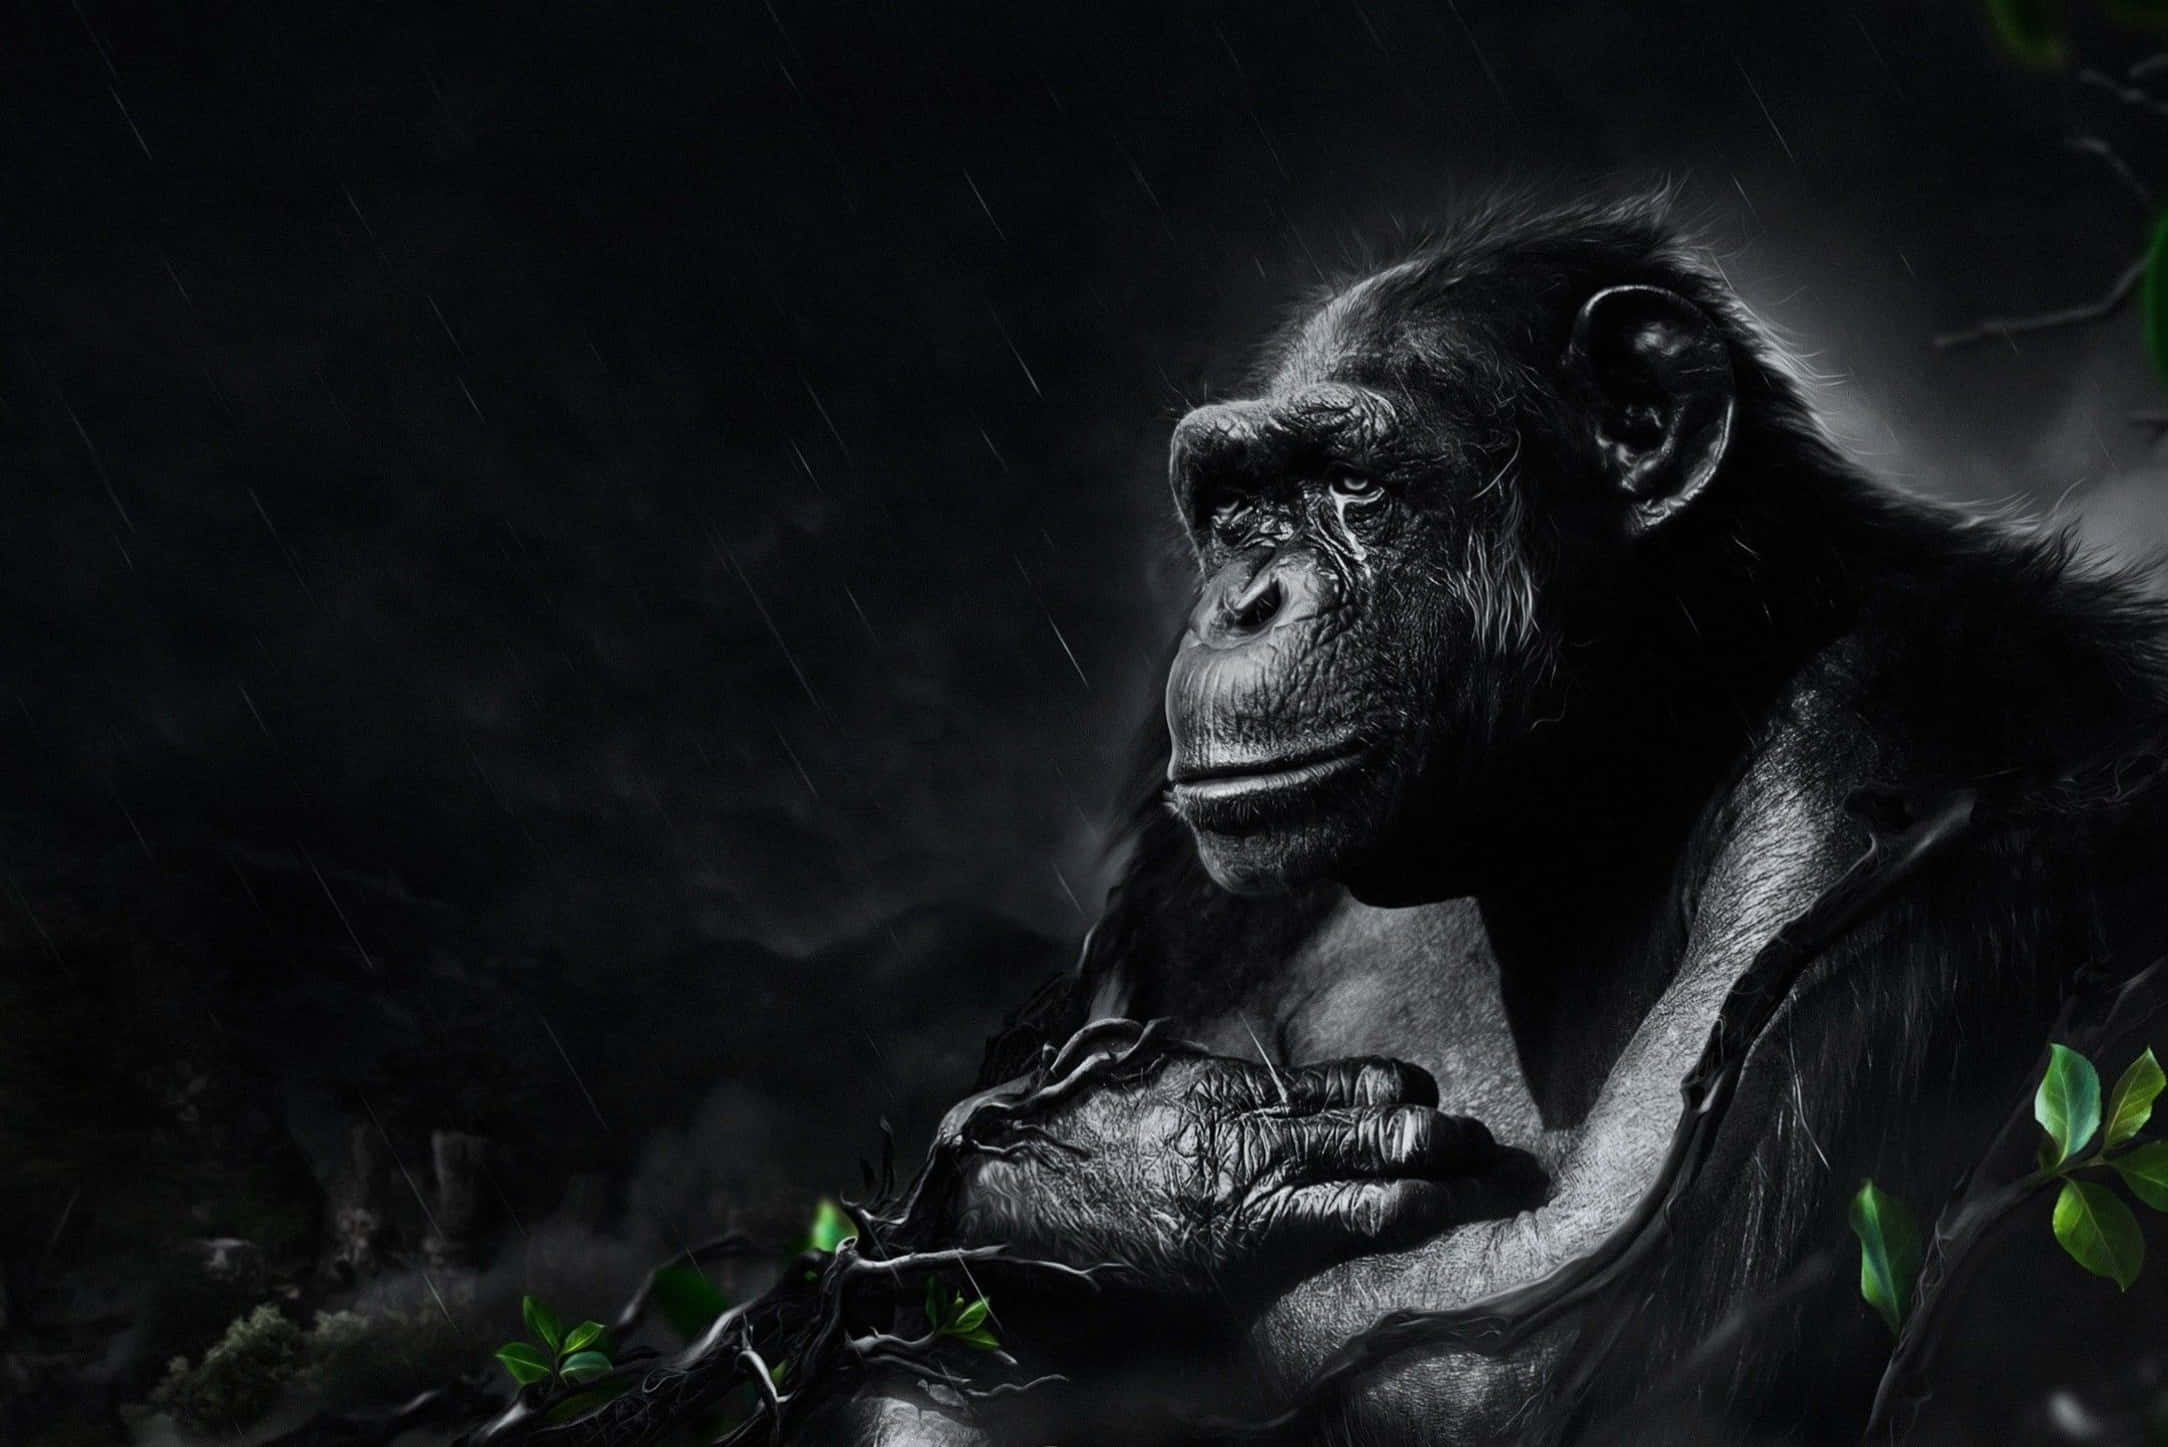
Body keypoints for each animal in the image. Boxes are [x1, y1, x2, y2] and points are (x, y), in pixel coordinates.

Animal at [794, 188, 2168, 1446]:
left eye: (1348, 480)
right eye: (1234, 502)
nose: (1242, 597)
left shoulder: (1889, 749)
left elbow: (1553, 1341)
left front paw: (1117, 1176)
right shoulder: (1170, 871)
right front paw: (1145, 1170)